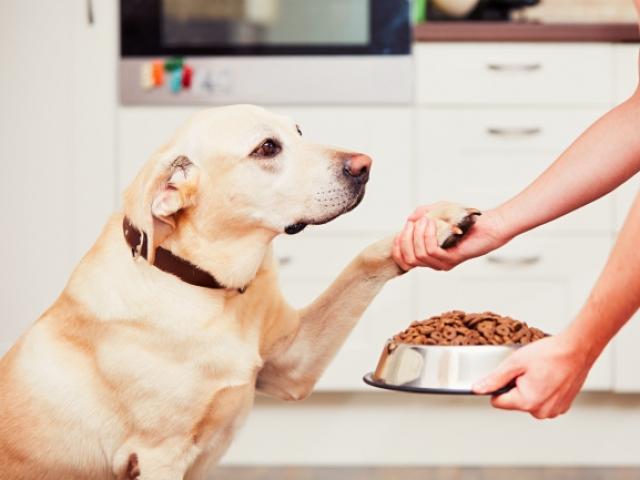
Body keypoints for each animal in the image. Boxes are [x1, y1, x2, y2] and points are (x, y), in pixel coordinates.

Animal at [0, 106, 480, 480]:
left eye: (299, 131)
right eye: (267, 148)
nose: (365, 164)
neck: (209, 286)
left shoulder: (292, 365)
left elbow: (362, 260)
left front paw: (437, 221)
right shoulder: (159, 455)